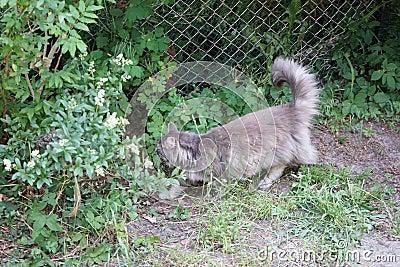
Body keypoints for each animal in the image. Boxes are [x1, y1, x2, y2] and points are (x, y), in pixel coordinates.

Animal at [155, 57, 318, 200]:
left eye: (160, 148)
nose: (155, 151)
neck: (194, 151)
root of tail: (290, 108)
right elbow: (176, 184)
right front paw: (165, 194)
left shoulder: (220, 175)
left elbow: (214, 188)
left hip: (275, 153)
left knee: (281, 166)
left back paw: (265, 182)